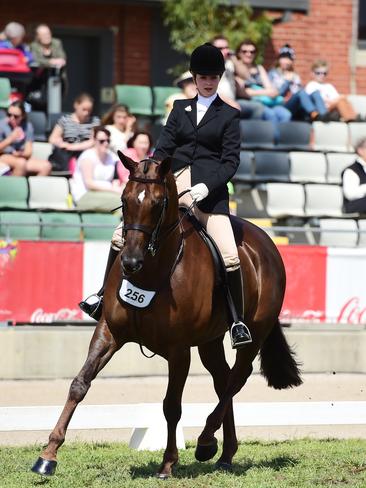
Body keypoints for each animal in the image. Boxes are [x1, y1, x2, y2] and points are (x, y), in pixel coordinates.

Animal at [31, 154, 302, 478]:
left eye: (159, 203)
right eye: (124, 199)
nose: (130, 262)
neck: (152, 270)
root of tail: (266, 241)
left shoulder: (178, 350)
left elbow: (172, 405)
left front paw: (168, 463)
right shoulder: (109, 332)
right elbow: (79, 384)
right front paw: (47, 456)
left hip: (255, 331)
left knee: (238, 377)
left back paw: (206, 441)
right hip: (209, 341)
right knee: (223, 380)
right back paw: (225, 453)